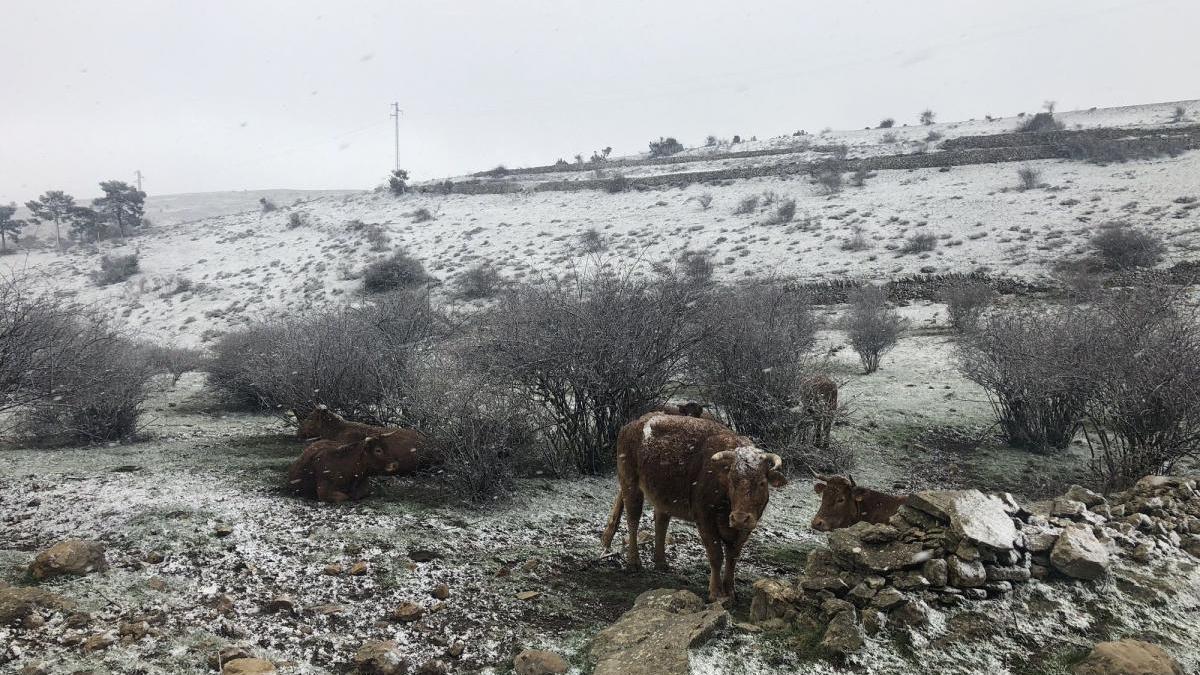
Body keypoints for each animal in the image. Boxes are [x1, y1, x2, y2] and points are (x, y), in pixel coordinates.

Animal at [600, 410, 787, 598]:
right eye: (732, 481)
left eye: (762, 483)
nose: (739, 518)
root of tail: (632, 424)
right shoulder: (704, 518)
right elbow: (716, 555)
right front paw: (715, 592)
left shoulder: (746, 528)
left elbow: (732, 556)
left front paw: (730, 591)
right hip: (630, 483)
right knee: (633, 519)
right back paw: (634, 563)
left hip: (660, 493)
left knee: (661, 520)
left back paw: (660, 562)